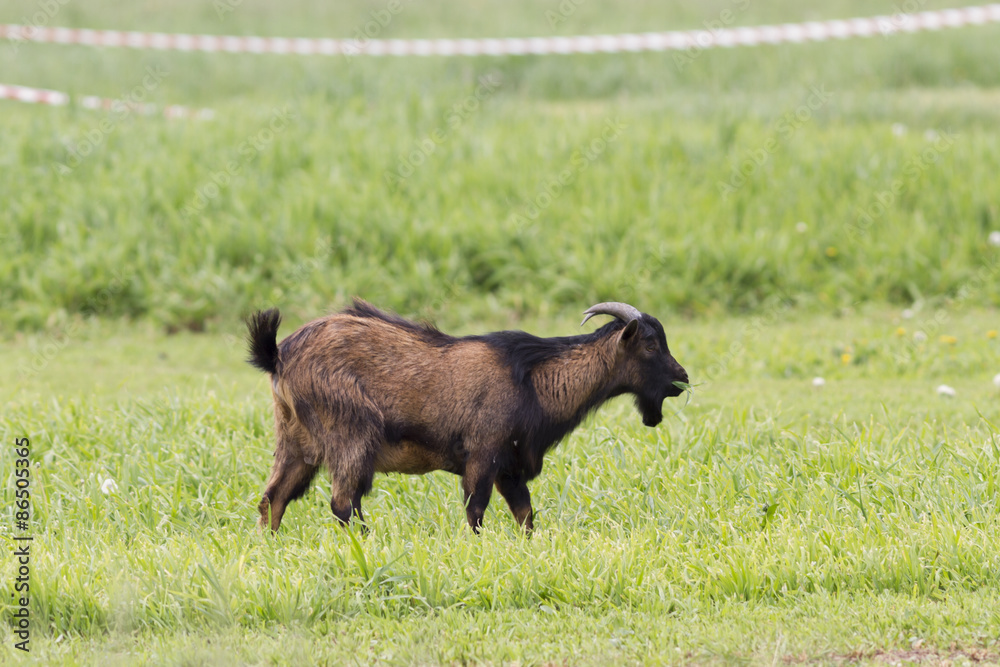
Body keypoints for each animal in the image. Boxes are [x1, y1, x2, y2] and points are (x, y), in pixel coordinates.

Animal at [246, 299, 688, 533]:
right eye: (650, 345)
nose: (682, 378)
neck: (535, 380)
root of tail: (278, 355)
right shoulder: (483, 453)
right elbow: (475, 511)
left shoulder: (510, 467)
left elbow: (526, 515)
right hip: (352, 435)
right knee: (343, 502)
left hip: (295, 441)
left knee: (274, 497)